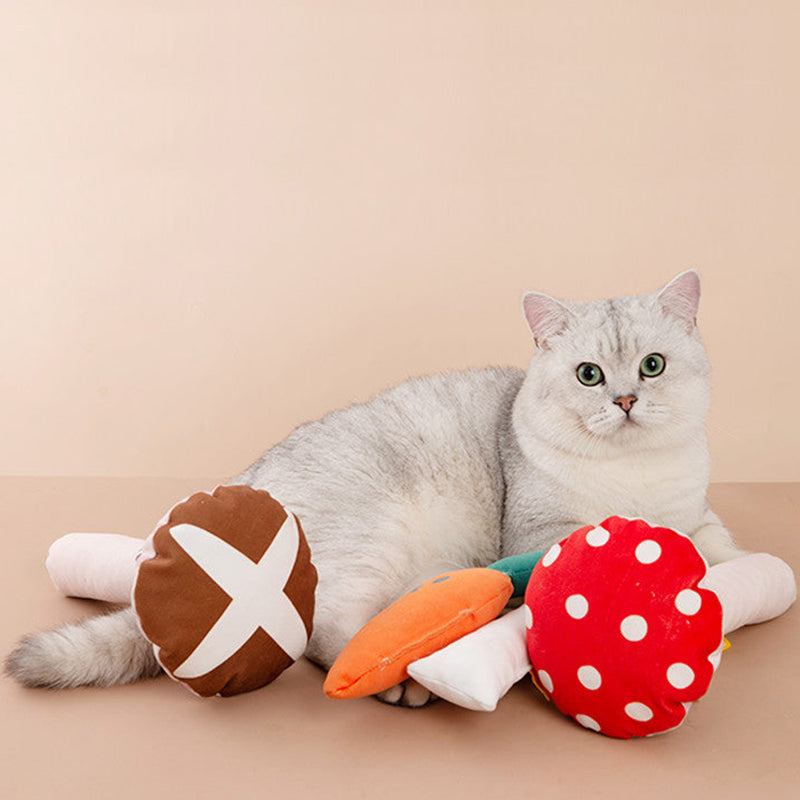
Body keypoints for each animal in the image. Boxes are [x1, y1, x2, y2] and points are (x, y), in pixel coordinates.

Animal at [6, 270, 744, 708]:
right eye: (589, 375)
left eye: (653, 367)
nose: (624, 400)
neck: (632, 473)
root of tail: (245, 481)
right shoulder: (540, 530)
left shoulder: (699, 512)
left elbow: (719, 546)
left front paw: (719, 568)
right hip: (371, 538)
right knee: (327, 638)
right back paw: (402, 681)